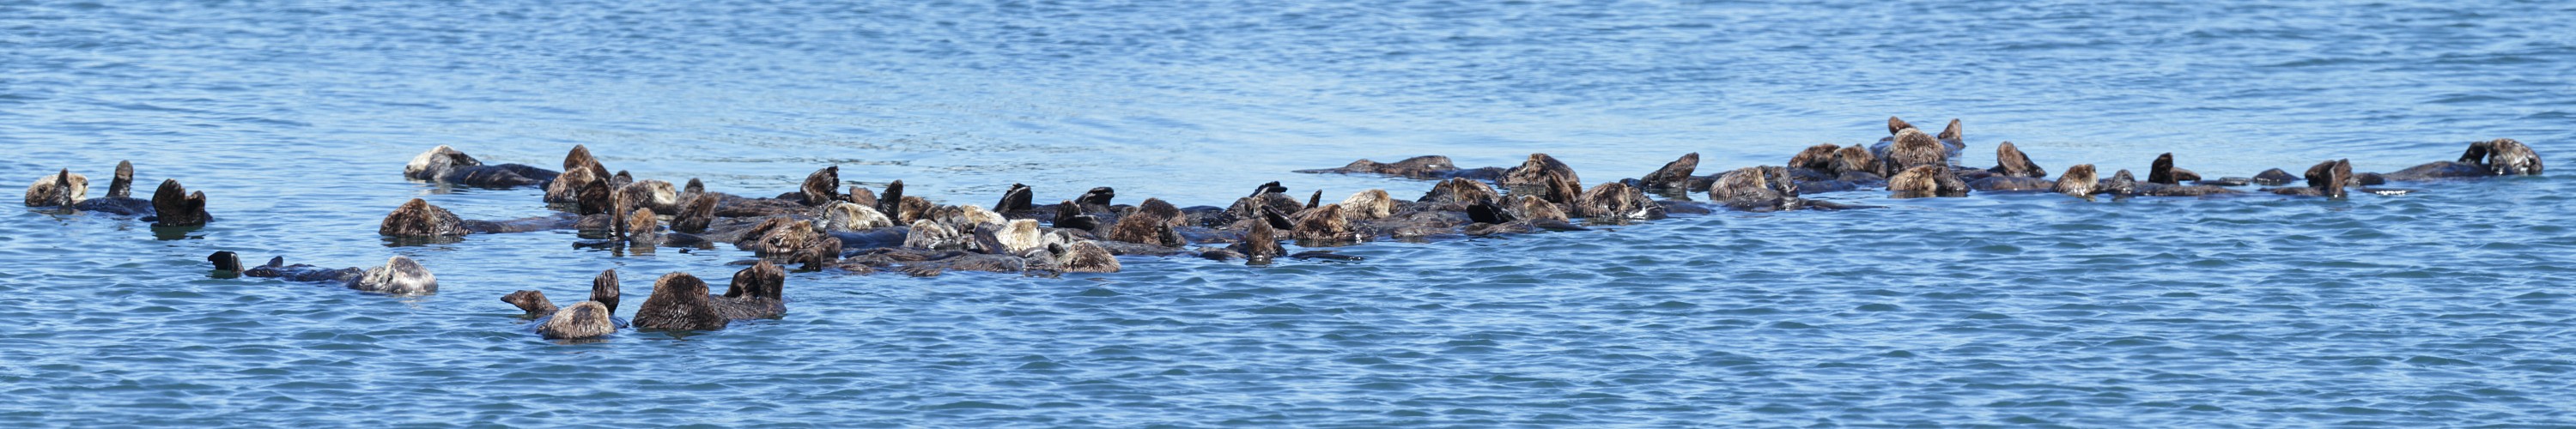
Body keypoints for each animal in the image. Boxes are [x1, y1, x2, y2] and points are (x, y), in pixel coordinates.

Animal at [403, 145, 560, 188]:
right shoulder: (432, 171)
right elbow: (437, 161)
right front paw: (443, 151)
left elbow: (476, 162)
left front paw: (456, 153)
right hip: (504, 177)